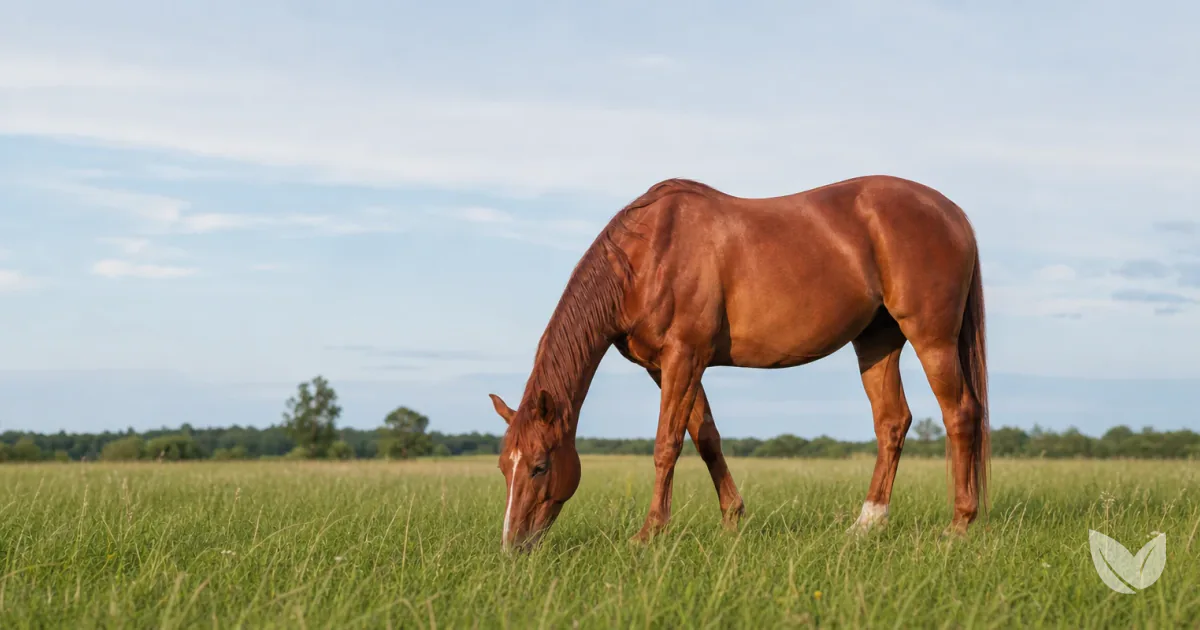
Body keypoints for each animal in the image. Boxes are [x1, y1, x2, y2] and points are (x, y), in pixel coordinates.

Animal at [488, 174, 989, 552]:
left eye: (539, 466)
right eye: (503, 467)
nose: (513, 546)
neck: (649, 255)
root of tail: (953, 213)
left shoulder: (684, 356)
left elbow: (667, 444)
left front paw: (649, 534)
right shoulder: (668, 366)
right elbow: (706, 437)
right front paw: (733, 520)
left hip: (931, 337)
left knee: (960, 414)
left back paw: (960, 525)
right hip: (877, 341)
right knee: (892, 422)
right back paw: (867, 524)